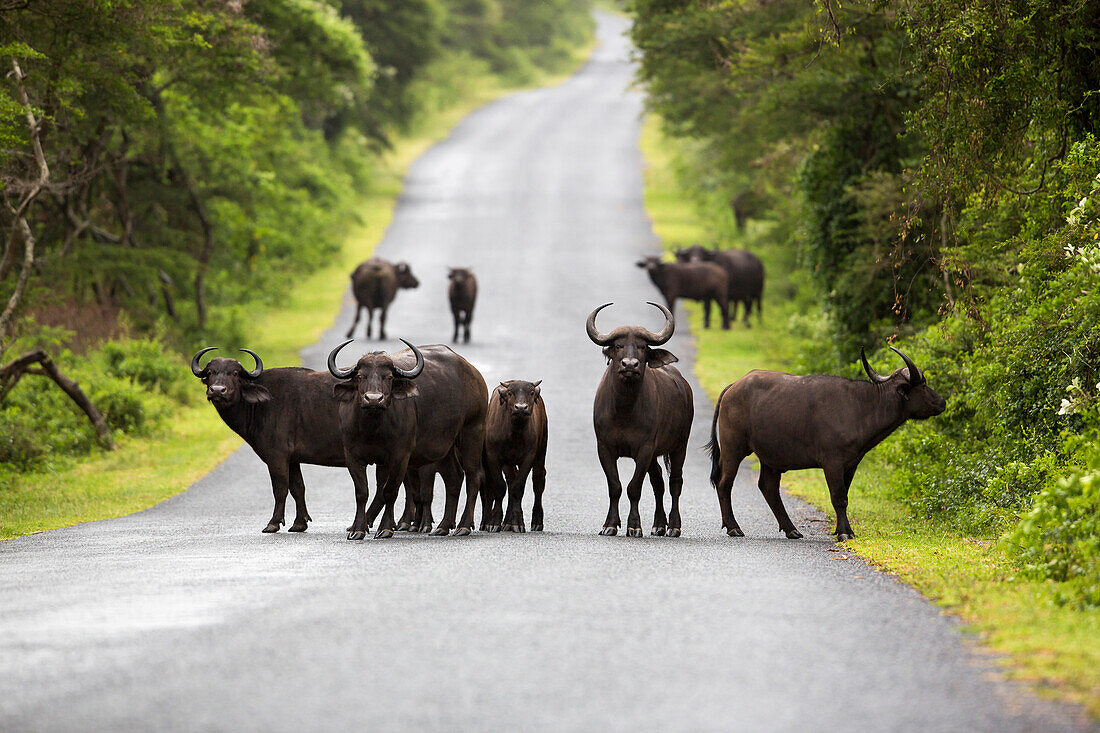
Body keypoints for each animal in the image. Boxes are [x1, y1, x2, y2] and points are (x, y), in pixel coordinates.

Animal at [191, 345, 341, 534]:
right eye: (211, 372)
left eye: (234, 373)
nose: (217, 390)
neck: (260, 405)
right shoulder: (292, 459)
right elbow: (298, 487)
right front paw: (299, 523)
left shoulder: (277, 456)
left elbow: (280, 488)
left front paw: (273, 523)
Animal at [323, 336, 484, 537]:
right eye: (360, 376)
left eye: (389, 377)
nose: (374, 399)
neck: (372, 428)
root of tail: (474, 374)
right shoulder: (353, 456)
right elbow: (362, 493)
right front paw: (357, 530)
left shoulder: (400, 456)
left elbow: (390, 491)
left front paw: (385, 528)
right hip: (444, 446)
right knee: (454, 478)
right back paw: (443, 526)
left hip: (472, 431)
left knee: (473, 477)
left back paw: (463, 525)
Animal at [484, 376, 547, 530]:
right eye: (510, 393)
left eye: (531, 392)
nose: (521, 408)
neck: (514, 433)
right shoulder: (493, 457)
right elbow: (500, 486)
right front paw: (494, 522)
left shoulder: (528, 458)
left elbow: (518, 488)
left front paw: (517, 522)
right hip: (508, 463)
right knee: (510, 480)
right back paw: (507, 521)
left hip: (541, 451)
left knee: (538, 480)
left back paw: (536, 521)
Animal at [589, 301, 690, 537]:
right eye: (618, 345)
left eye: (643, 346)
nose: (629, 365)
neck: (624, 410)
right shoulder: (604, 447)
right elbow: (615, 486)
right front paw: (610, 524)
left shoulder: (644, 449)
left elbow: (634, 488)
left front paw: (634, 525)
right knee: (658, 481)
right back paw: (659, 524)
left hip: (680, 445)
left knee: (675, 482)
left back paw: (674, 526)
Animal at [708, 345, 950, 539]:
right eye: (923, 385)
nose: (942, 401)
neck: (862, 407)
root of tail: (733, 386)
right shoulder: (832, 463)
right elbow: (838, 497)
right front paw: (844, 532)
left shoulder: (851, 464)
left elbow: (844, 496)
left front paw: (842, 529)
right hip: (733, 448)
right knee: (724, 483)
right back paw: (734, 527)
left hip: (771, 456)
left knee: (768, 487)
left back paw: (791, 529)